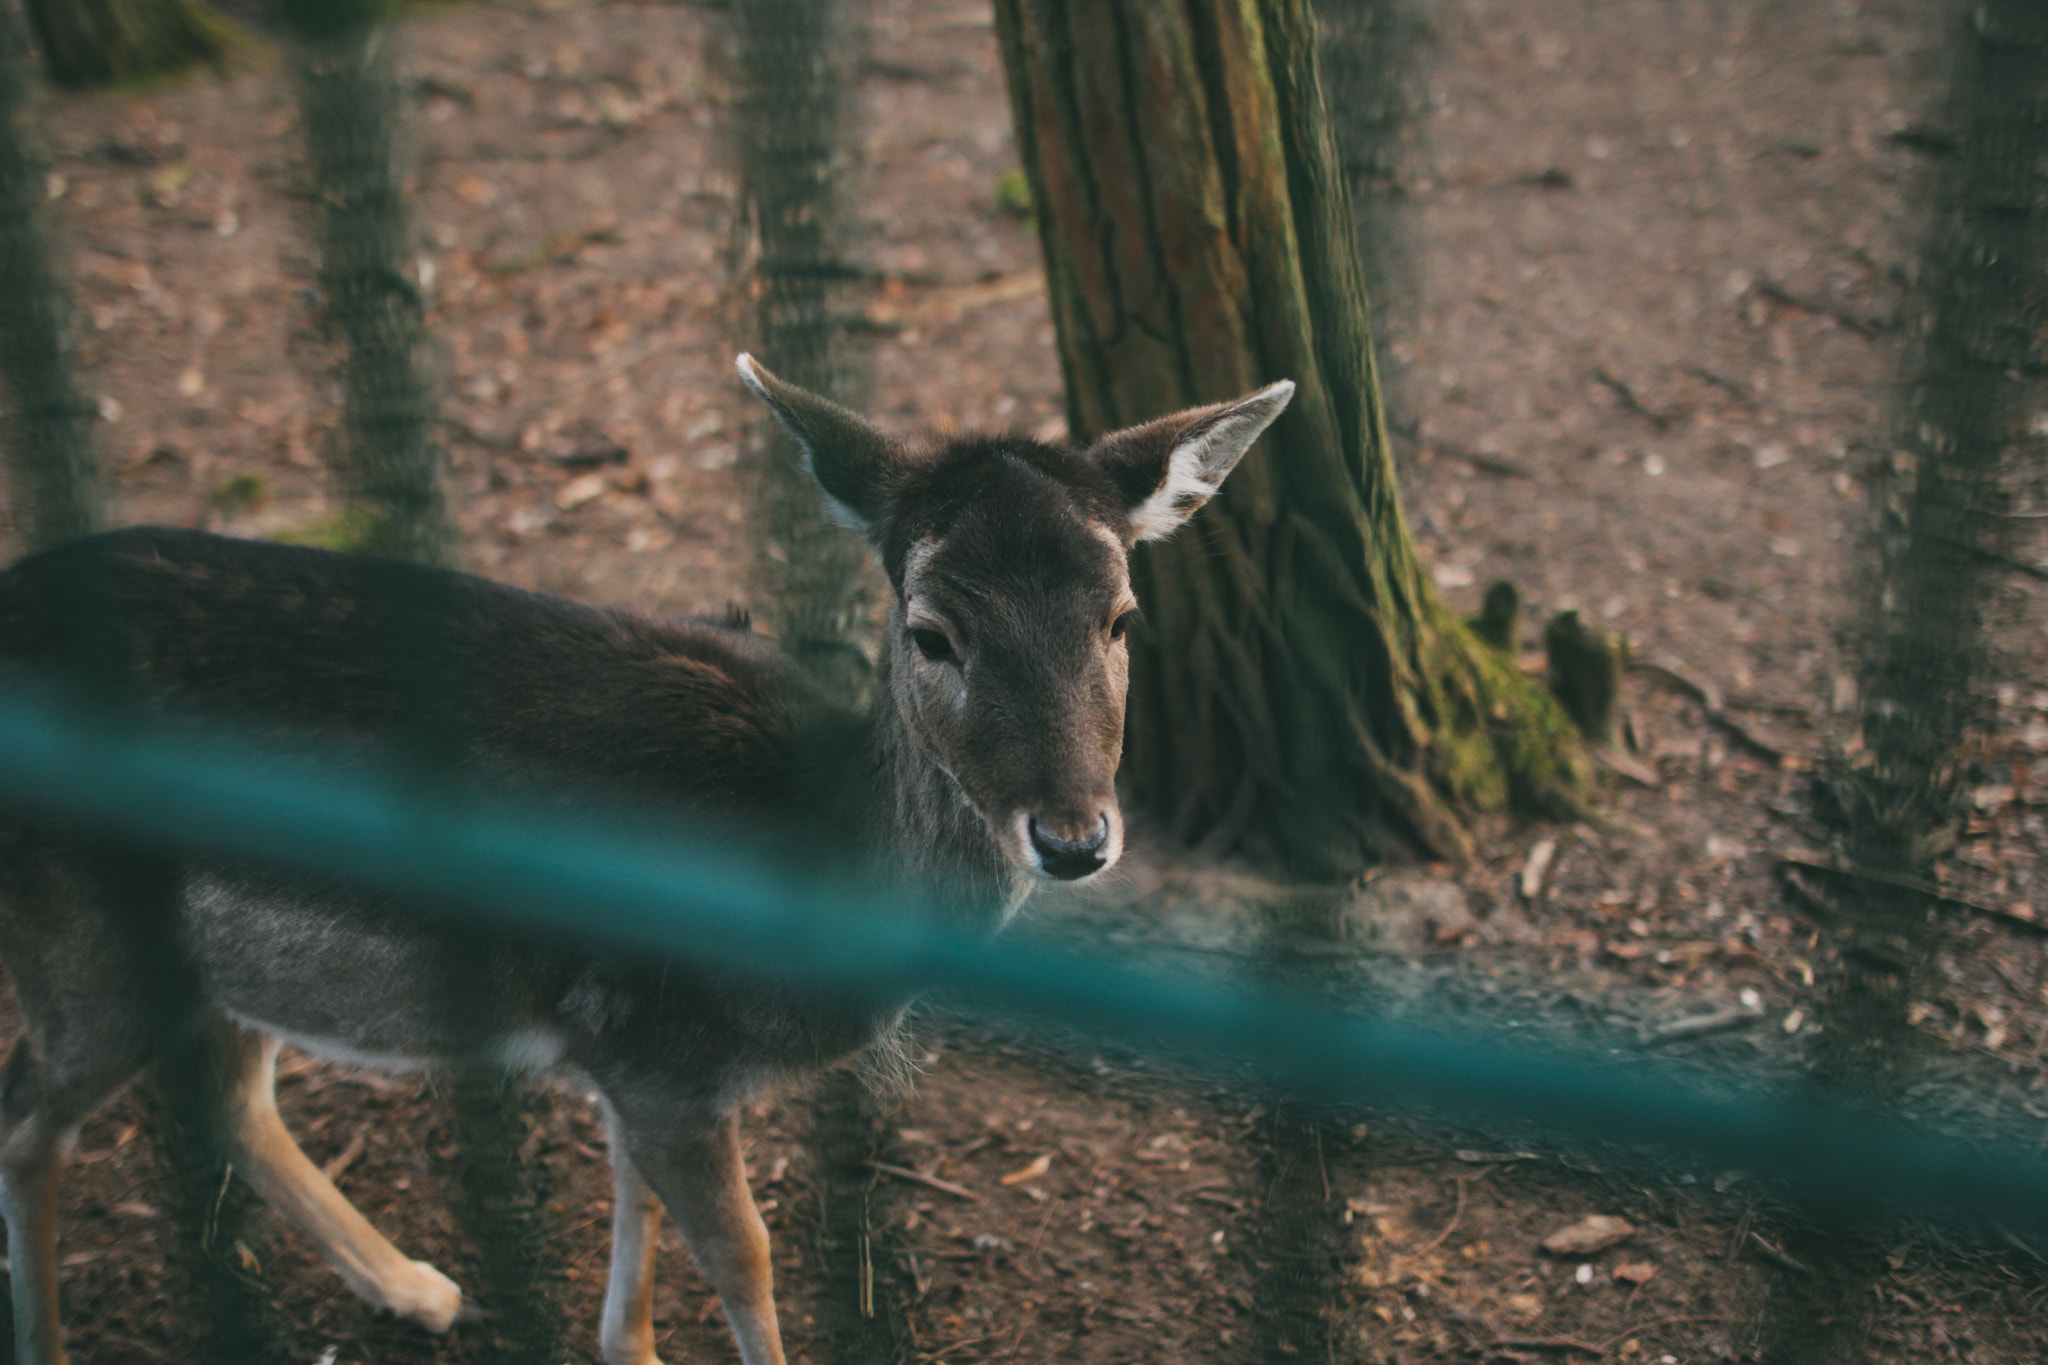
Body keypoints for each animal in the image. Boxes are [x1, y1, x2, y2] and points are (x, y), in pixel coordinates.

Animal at [0, 358, 1286, 1365]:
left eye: (1119, 619)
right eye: (931, 632)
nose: (1072, 837)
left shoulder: (636, 1055)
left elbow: (642, 1238)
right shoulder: (663, 1052)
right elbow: (744, 1255)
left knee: (224, 1094)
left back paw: (420, 1289)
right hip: (80, 939)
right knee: (27, 1121)